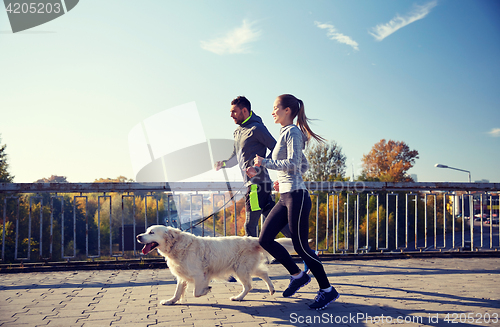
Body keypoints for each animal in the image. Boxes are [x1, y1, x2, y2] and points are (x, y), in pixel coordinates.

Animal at [137, 226, 292, 304]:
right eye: (146, 231)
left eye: (151, 232)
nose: (138, 236)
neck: (177, 245)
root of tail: (251, 239)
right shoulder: (182, 275)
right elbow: (177, 292)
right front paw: (170, 301)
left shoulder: (199, 275)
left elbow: (196, 293)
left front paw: (206, 290)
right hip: (244, 268)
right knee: (263, 273)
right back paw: (271, 289)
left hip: (240, 269)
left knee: (248, 285)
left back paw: (238, 298)